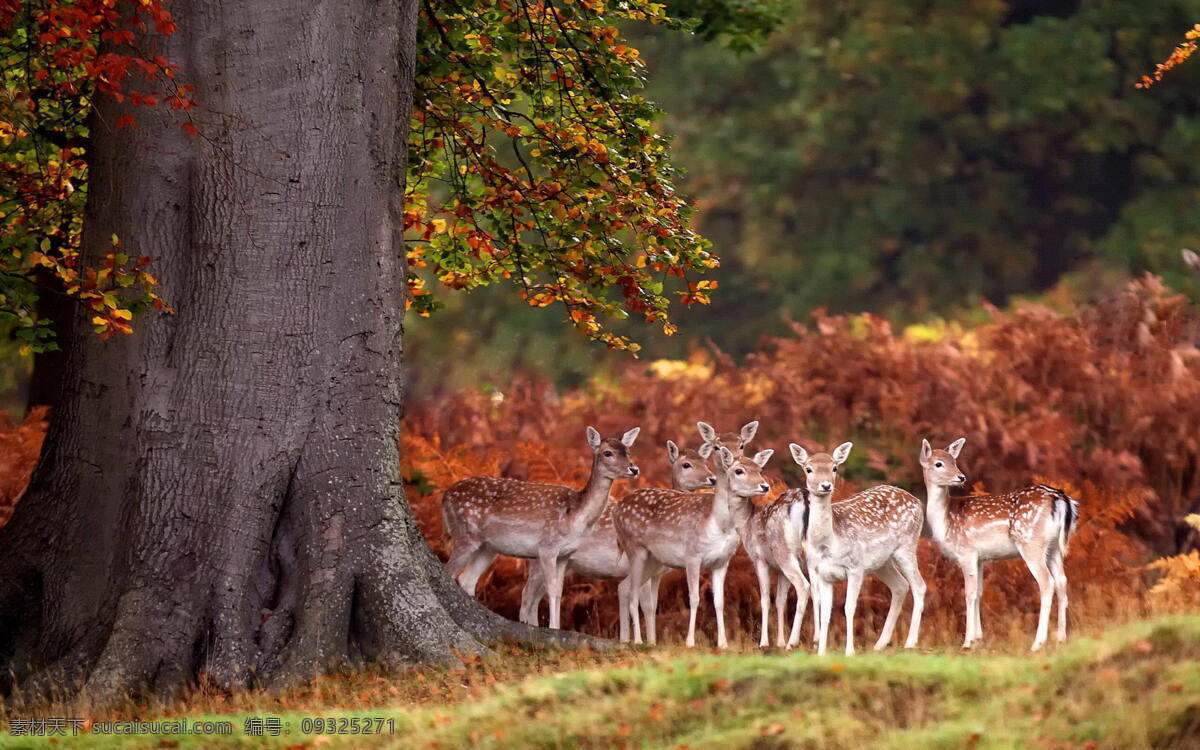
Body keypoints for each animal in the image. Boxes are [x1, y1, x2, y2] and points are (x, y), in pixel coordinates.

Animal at [444, 424, 643, 628]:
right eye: (607, 453)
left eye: (628, 451)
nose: (634, 469)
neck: (575, 516)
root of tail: (445, 496)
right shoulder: (547, 547)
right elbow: (552, 590)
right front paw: (554, 627)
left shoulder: (565, 554)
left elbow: (559, 591)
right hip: (464, 534)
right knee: (449, 572)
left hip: (487, 548)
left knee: (467, 578)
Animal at [513, 439, 710, 638]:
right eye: (686, 464)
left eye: (705, 461)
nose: (712, 478)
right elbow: (646, 605)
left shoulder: (656, 574)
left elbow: (651, 605)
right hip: (539, 559)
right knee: (527, 595)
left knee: (536, 597)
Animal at [614, 441, 772, 648]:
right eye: (739, 471)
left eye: (760, 469)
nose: (765, 485)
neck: (719, 524)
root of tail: (617, 509)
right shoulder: (692, 556)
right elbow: (695, 598)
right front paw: (690, 642)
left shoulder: (722, 561)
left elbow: (719, 601)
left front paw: (723, 643)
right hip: (635, 548)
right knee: (633, 593)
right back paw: (639, 641)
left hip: (654, 560)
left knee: (624, 587)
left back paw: (629, 640)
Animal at [796, 441, 926, 652]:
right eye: (808, 469)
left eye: (834, 467)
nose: (826, 485)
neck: (828, 543)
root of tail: (918, 501)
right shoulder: (823, 574)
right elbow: (825, 612)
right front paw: (821, 652)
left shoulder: (855, 567)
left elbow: (849, 608)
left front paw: (849, 651)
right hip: (881, 563)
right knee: (900, 586)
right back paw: (880, 644)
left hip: (906, 546)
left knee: (919, 585)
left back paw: (910, 642)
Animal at [921, 436, 1084, 652]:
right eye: (939, 463)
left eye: (953, 461)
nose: (961, 477)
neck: (945, 519)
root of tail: (1061, 499)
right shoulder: (980, 558)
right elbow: (979, 592)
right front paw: (978, 638)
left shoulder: (966, 551)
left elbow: (969, 593)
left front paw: (967, 642)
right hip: (1053, 547)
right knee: (1062, 581)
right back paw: (1061, 639)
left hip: (1030, 542)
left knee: (1046, 582)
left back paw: (1037, 643)